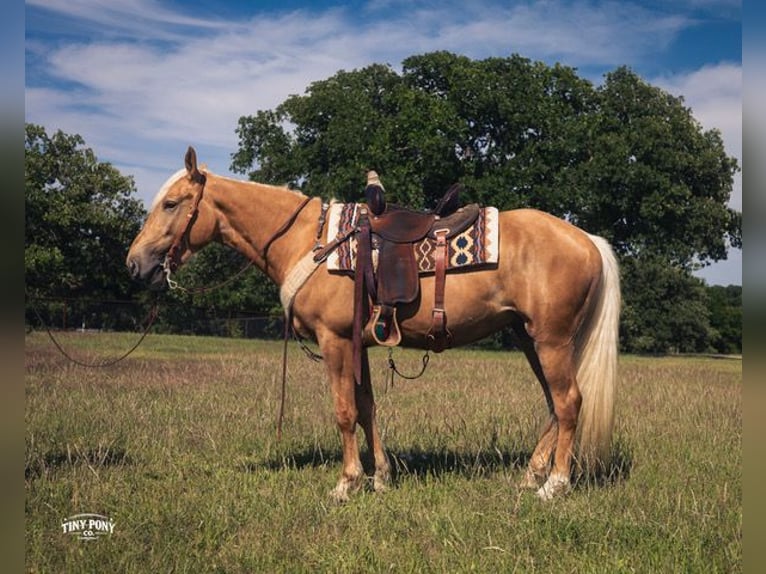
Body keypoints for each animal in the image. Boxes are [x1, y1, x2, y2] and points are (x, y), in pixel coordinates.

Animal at [126, 147, 621, 501]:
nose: (135, 264)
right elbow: (367, 408)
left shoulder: (334, 341)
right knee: (554, 405)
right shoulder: (358, 343)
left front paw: (347, 483)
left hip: (551, 340)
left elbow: (344, 411)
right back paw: (530, 475)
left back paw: (554, 485)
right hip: (529, 337)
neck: (308, 241)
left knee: (569, 402)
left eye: (171, 204)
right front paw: (380, 476)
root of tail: (586, 238)